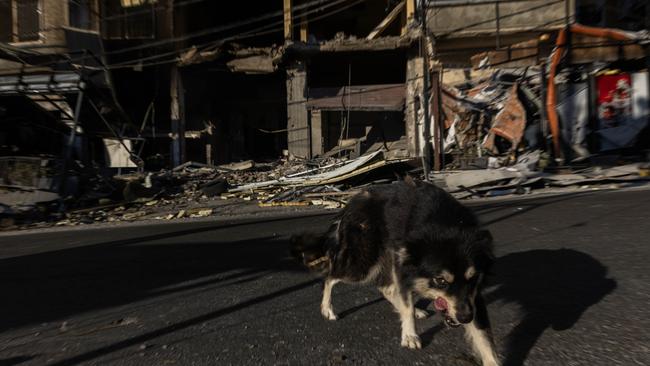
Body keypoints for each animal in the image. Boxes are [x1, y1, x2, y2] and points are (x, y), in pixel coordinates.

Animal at [292, 177, 498, 366]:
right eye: (440, 280)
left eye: (473, 278)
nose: (465, 318)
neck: (446, 225)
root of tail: (353, 200)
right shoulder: (404, 268)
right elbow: (406, 305)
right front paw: (410, 335)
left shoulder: (472, 297)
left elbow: (483, 335)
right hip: (363, 264)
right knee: (330, 277)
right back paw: (327, 309)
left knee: (386, 288)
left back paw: (415, 310)